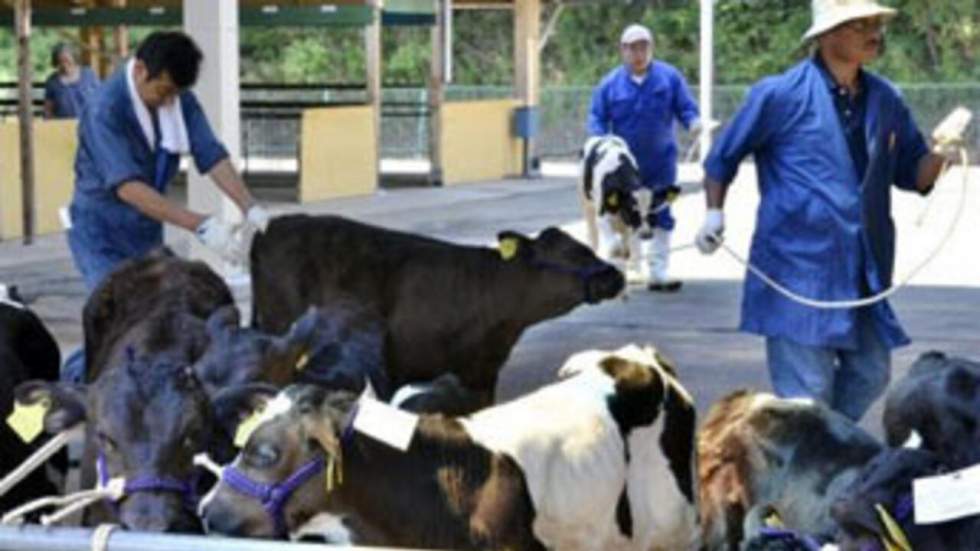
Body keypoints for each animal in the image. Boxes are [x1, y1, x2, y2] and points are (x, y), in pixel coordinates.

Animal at [580, 136, 652, 276]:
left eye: (650, 210)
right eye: (632, 210)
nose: (647, 235)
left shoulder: (633, 227)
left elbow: (634, 248)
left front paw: (637, 271)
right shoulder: (602, 218)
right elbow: (614, 246)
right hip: (586, 202)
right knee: (592, 235)